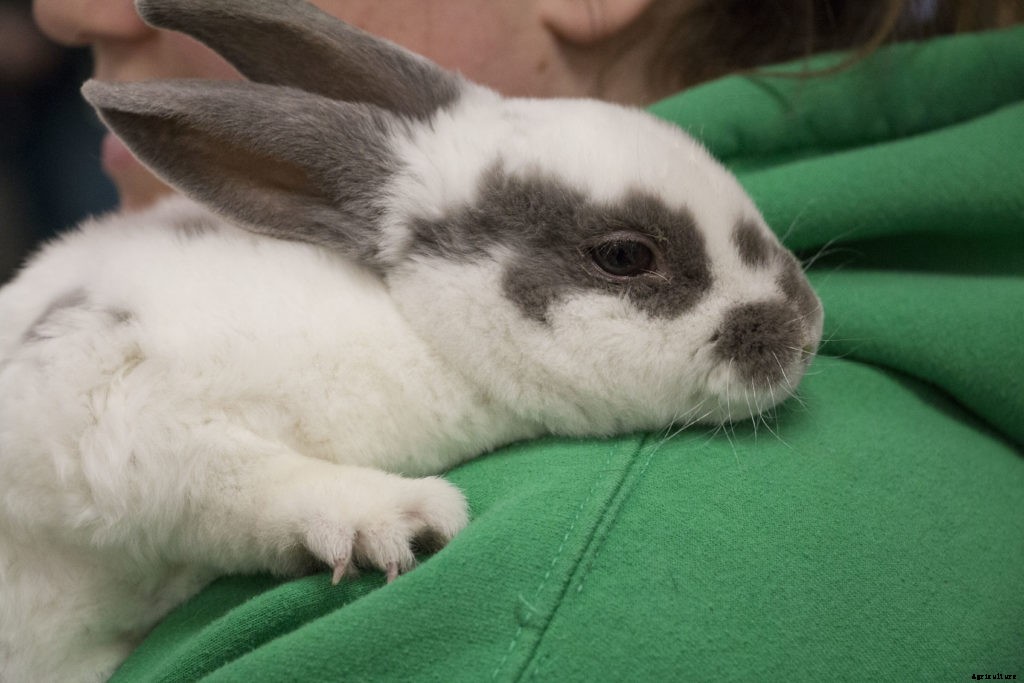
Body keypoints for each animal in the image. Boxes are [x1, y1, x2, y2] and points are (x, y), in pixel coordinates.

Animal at [0, 0, 823, 680]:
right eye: (625, 255)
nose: (807, 326)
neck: (409, 320)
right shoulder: (101, 409)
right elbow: (230, 478)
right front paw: (390, 517)